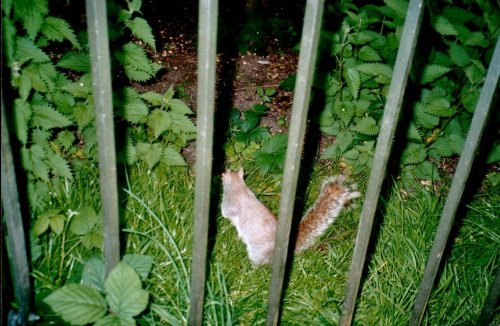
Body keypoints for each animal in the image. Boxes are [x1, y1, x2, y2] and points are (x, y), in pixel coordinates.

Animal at [220, 169, 360, 266]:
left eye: (223, 176)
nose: (221, 174)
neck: (238, 186)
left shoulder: (229, 205)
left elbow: (226, 212)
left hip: (257, 252)